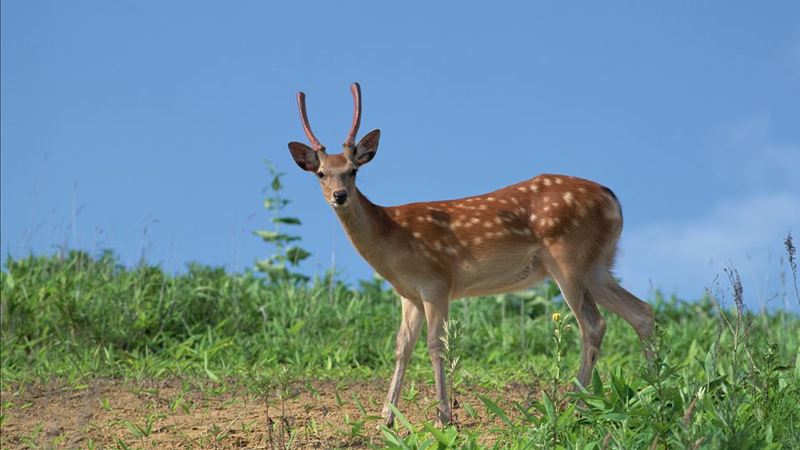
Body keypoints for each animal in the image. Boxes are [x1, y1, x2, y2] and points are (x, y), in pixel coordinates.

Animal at [288, 83, 656, 426]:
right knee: (642, 312)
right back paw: (654, 391)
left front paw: (443, 416)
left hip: (569, 258)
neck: (392, 238)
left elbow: (436, 345)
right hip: (598, 265)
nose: (339, 196)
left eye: (353, 170)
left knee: (594, 325)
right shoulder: (409, 294)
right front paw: (386, 419)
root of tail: (613, 200)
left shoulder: (436, 282)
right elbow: (401, 348)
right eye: (321, 173)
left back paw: (575, 406)